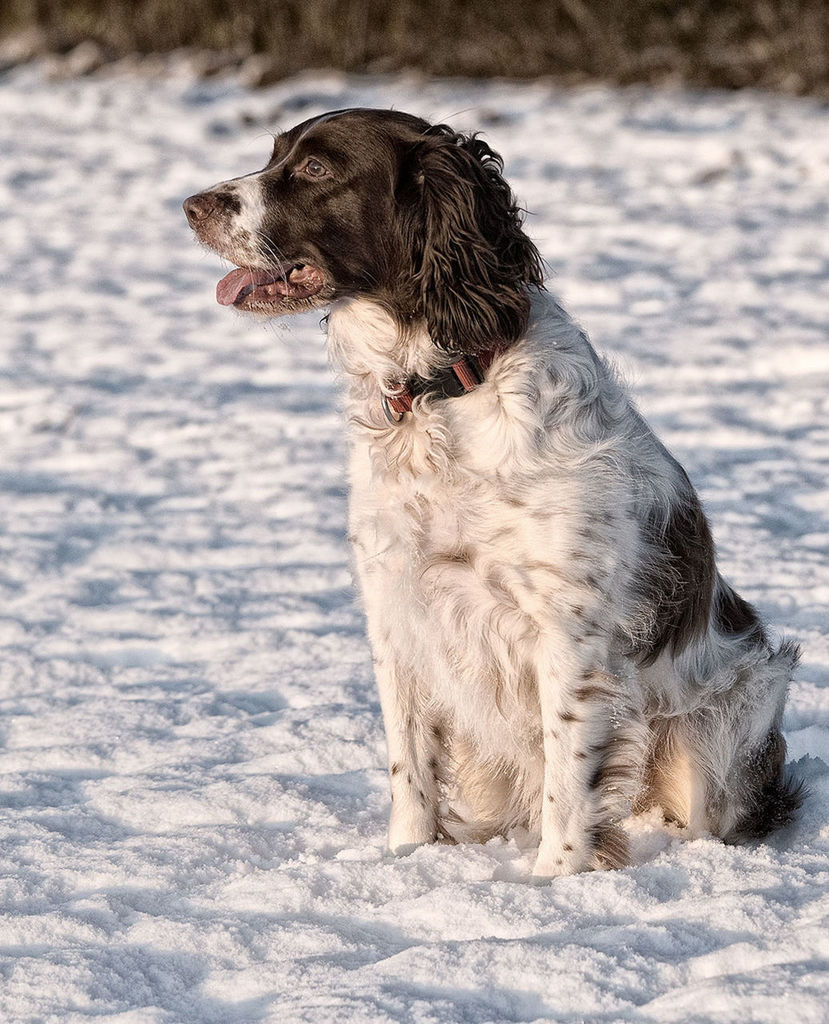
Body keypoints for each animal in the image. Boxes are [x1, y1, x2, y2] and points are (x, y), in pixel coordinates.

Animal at [184, 103, 798, 876]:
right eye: (274, 156)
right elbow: (409, 768)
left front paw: (554, 884)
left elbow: (570, 784)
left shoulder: (568, 633)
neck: (439, 392)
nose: (190, 205)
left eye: (317, 168)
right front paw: (406, 859)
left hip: (718, 732)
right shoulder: (396, 609)